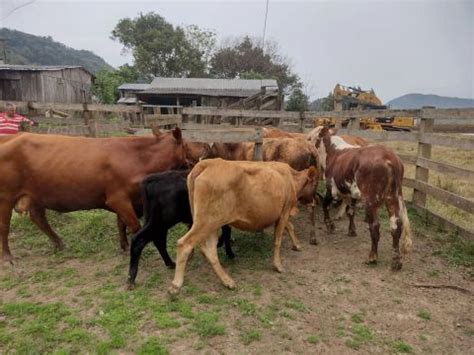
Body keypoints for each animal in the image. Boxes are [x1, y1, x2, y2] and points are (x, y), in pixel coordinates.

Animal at [1, 129, 191, 262]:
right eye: (187, 145)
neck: (137, 157)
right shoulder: (118, 198)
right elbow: (134, 226)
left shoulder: (126, 201)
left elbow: (121, 223)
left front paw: (123, 246)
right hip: (6, 197)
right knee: (5, 226)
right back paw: (8, 257)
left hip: (36, 196)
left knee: (39, 218)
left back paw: (60, 244)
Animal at [167, 160, 318, 296]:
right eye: (314, 184)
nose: (314, 203)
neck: (291, 177)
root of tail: (207, 163)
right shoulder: (284, 211)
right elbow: (278, 240)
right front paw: (278, 265)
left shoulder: (279, 214)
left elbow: (290, 227)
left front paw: (297, 245)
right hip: (207, 221)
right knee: (185, 244)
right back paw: (176, 285)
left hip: (210, 222)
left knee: (209, 249)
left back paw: (227, 281)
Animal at [316, 127, 412, 270]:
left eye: (315, 138)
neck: (335, 152)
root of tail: (389, 157)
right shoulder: (352, 193)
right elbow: (350, 211)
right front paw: (351, 230)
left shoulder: (331, 188)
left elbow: (325, 204)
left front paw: (330, 225)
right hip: (392, 197)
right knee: (396, 226)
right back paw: (396, 261)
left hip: (370, 200)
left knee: (375, 227)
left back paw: (372, 257)